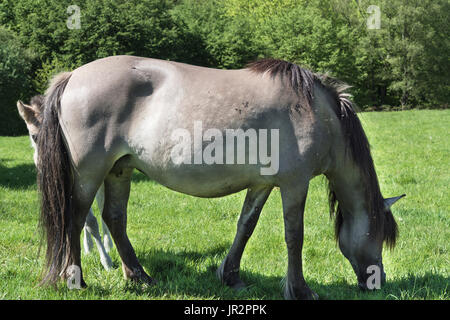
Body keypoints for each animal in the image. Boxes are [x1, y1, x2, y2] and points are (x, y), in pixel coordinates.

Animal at [16, 97, 113, 270]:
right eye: (33, 136)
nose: (45, 165)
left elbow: (93, 220)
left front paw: (107, 262)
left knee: (102, 206)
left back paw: (108, 244)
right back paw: (88, 247)